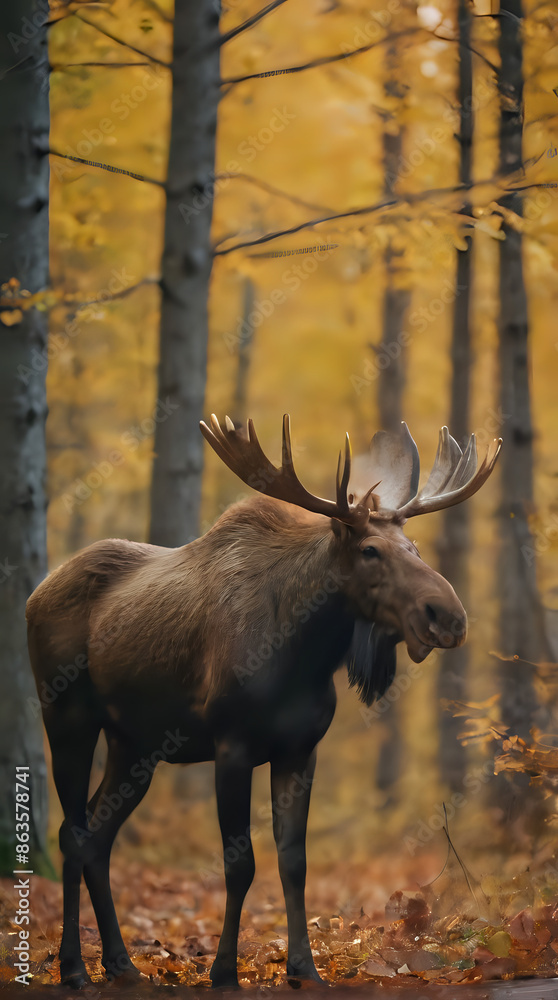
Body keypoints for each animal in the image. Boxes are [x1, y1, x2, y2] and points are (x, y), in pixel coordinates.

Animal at [26, 415, 501, 990]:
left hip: (133, 746)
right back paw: (75, 968)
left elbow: (293, 861)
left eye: (415, 547)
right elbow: (241, 864)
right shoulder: (232, 748)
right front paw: (224, 970)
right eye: (370, 550)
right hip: (67, 719)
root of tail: (35, 593)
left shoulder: (299, 751)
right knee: (71, 833)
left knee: (97, 838)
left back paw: (121, 963)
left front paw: (305, 969)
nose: (447, 616)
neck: (304, 657)